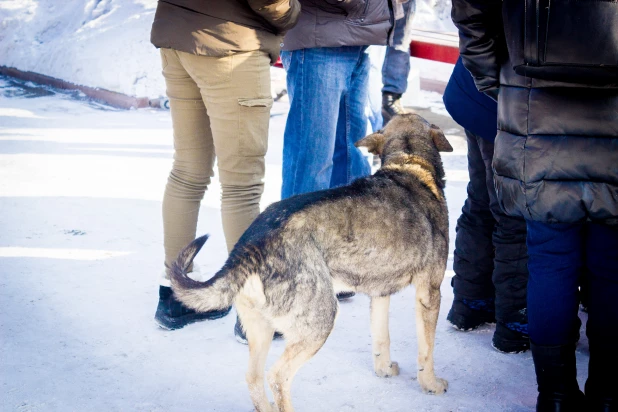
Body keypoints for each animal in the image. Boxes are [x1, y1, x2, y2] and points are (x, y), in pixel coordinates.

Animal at [171, 113, 450, 412]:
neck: (409, 162)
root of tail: (251, 245)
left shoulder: (380, 294)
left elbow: (381, 337)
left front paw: (384, 369)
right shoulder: (429, 293)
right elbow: (427, 351)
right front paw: (431, 384)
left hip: (261, 330)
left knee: (253, 378)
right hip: (320, 322)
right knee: (277, 377)